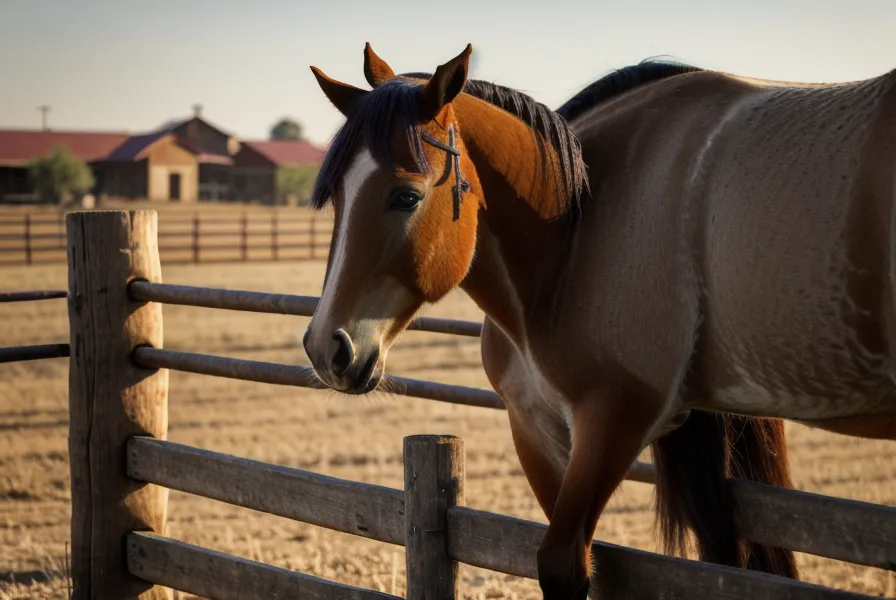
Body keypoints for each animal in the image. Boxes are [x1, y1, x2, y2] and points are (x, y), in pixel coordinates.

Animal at [302, 43, 896, 599]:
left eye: (406, 196)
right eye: (338, 196)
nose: (326, 347)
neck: (575, 233)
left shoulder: (614, 418)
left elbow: (564, 565)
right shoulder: (536, 429)